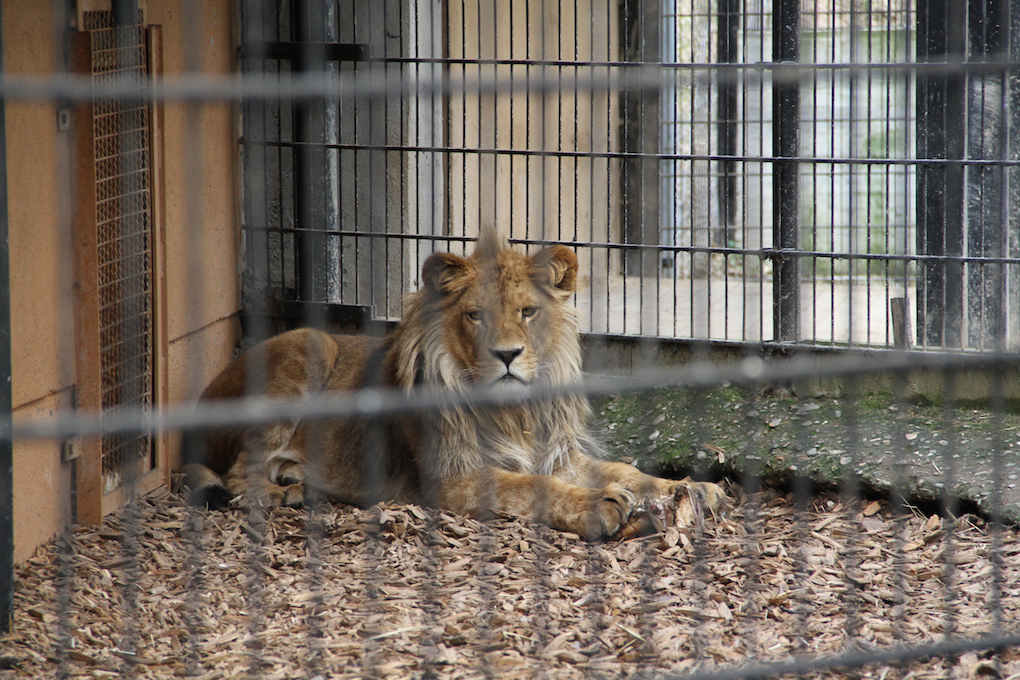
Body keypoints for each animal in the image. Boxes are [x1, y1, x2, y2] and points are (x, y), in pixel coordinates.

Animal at [182, 231, 726, 540]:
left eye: (528, 312)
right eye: (475, 316)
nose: (507, 355)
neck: (516, 413)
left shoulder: (559, 456)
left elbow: (625, 470)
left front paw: (694, 489)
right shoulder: (451, 478)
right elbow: (528, 487)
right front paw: (600, 505)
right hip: (306, 346)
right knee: (237, 476)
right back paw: (284, 496)